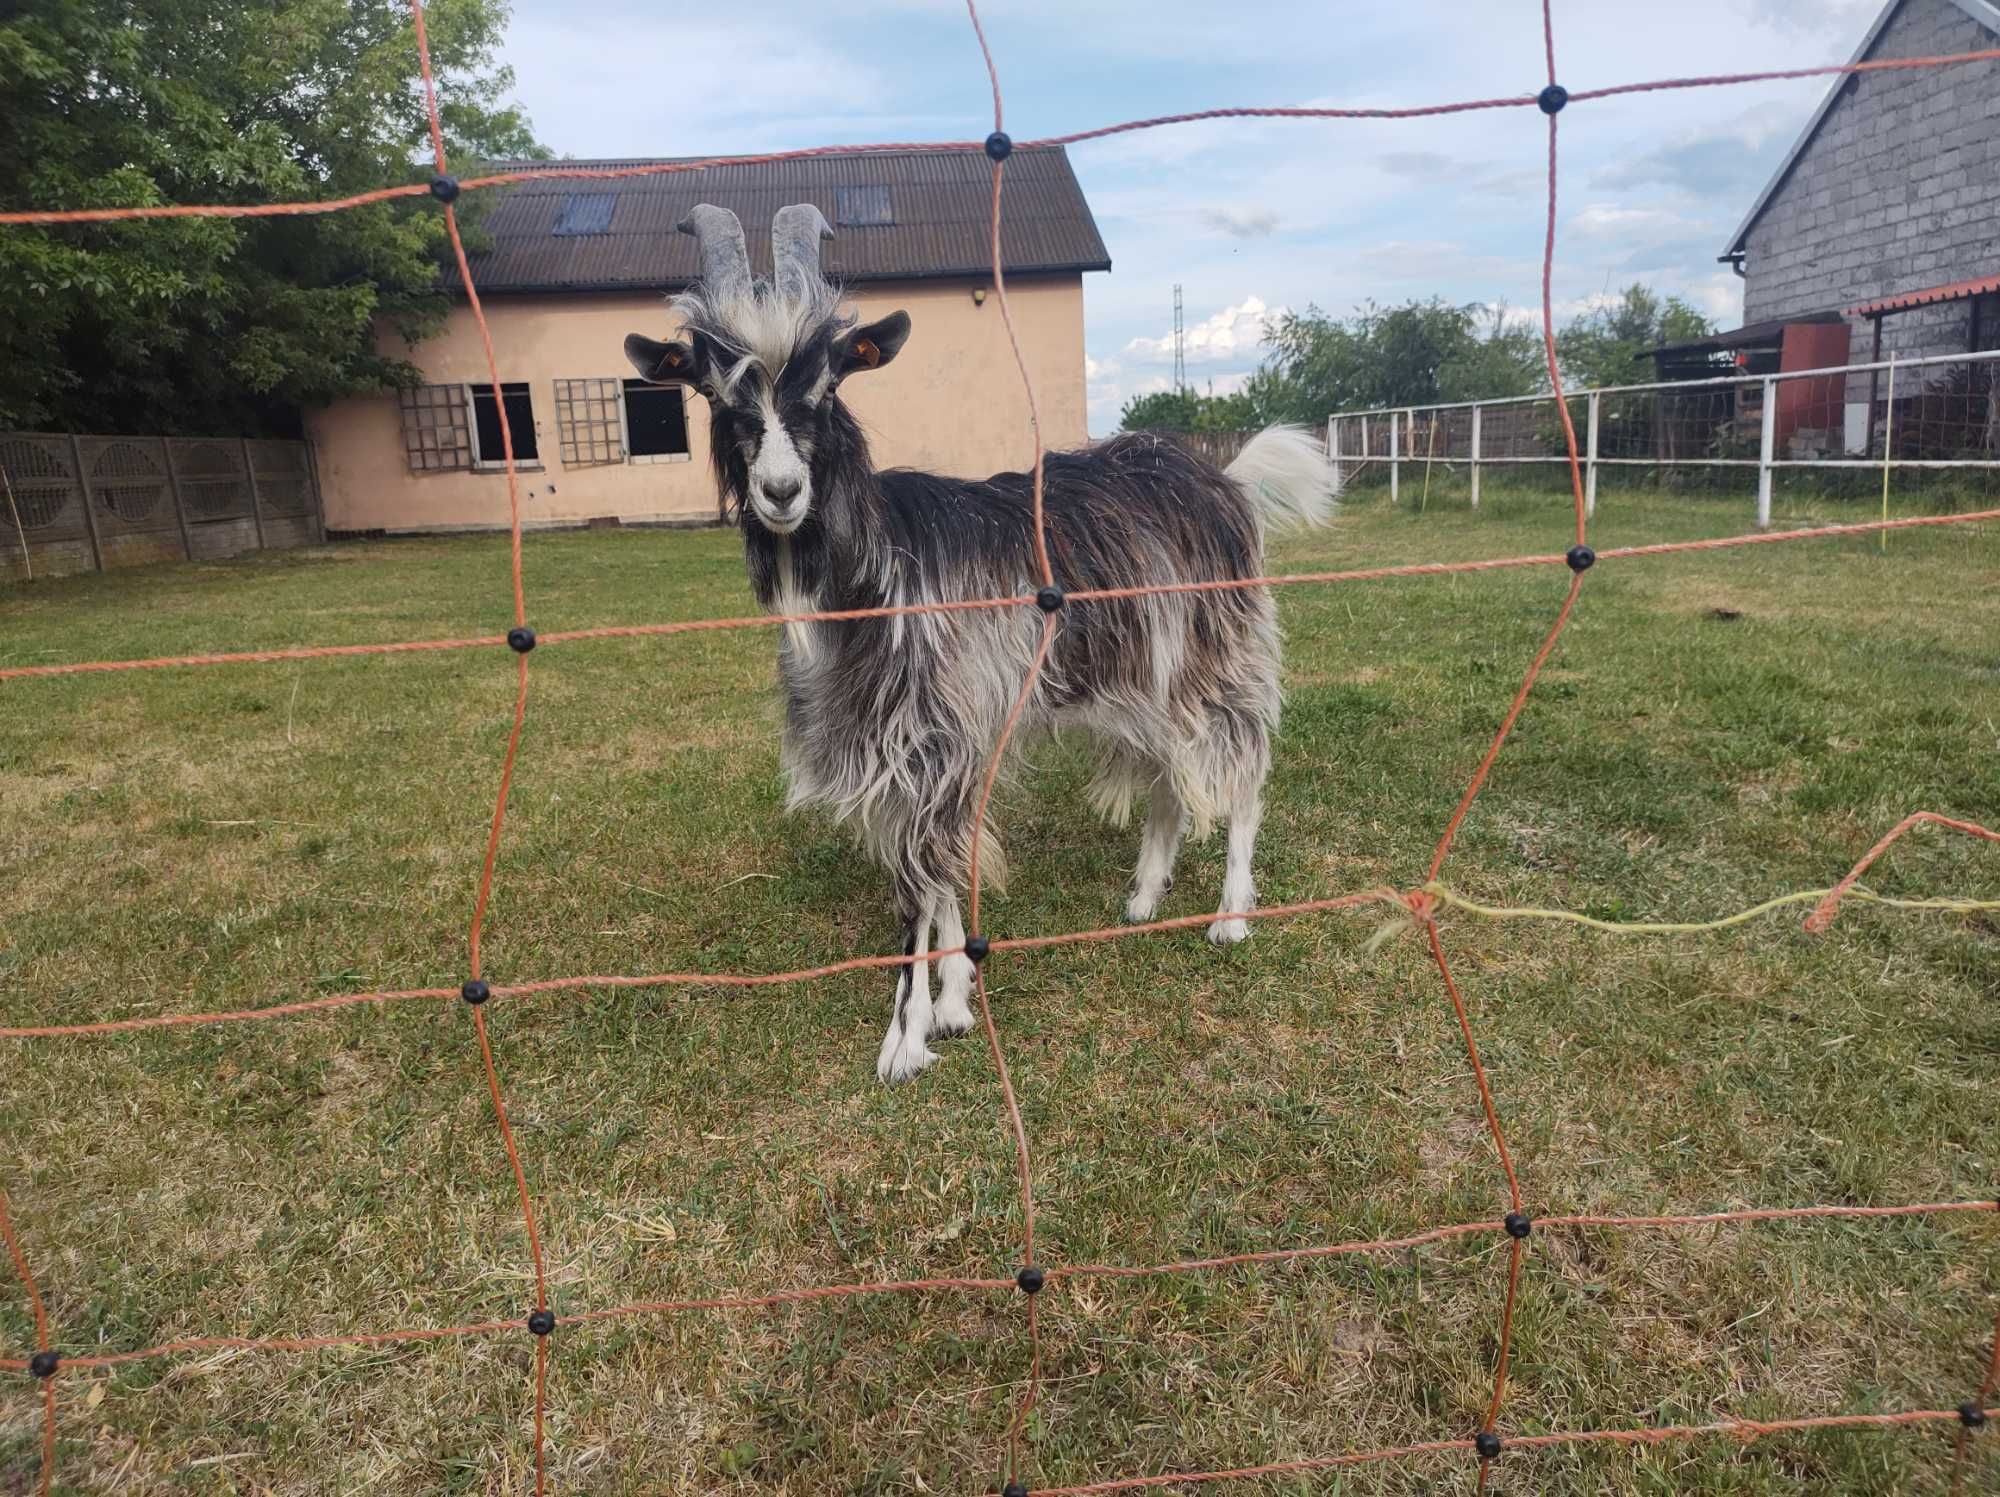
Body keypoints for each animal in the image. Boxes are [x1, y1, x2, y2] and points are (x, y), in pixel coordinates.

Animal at [624, 202, 1336, 1088]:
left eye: (829, 384)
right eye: (714, 391)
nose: (782, 491)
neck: (872, 581)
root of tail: (1226, 480)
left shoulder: (933, 741)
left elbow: (919, 884)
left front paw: (907, 1036)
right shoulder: (920, 746)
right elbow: (940, 877)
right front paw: (954, 1000)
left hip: (1216, 655)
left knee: (1243, 770)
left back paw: (1232, 915)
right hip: (1142, 679)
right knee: (1170, 780)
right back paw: (1143, 895)